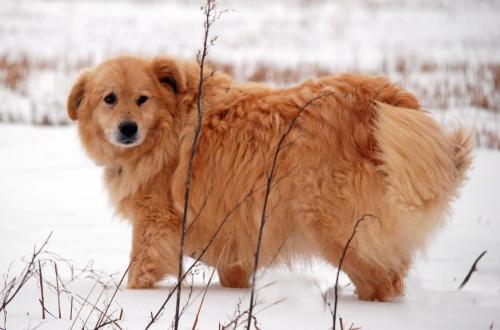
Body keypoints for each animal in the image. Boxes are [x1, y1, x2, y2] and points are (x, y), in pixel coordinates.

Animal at [66, 55, 472, 300]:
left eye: (142, 98)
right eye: (109, 98)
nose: (128, 129)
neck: (171, 122)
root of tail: (386, 101)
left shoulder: (155, 220)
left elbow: (140, 267)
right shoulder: (230, 227)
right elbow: (230, 267)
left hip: (333, 229)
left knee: (380, 282)